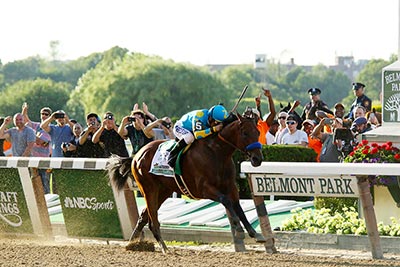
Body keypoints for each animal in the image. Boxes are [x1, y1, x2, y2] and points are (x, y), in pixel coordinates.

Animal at [108, 112, 268, 253]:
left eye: (257, 132)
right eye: (245, 133)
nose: (257, 159)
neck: (217, 153)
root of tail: (136, 155)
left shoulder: (231, 187)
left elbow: (238, 207)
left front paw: (255, 234)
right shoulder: (203, 189)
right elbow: (226, 201)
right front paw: (239, 231)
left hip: (164, 190)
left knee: (143, 216)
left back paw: (133, 244)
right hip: (149, 189)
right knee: (153, 220)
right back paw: (163, 247)